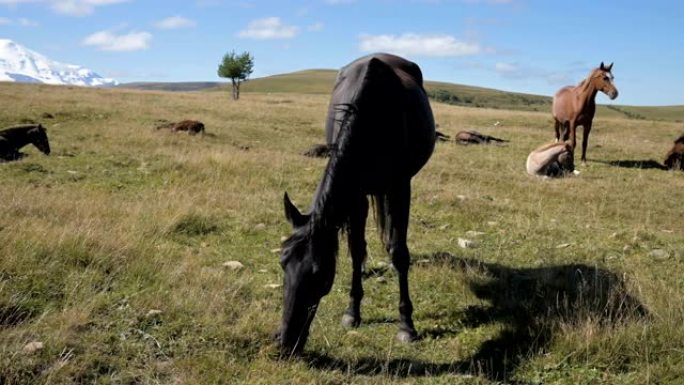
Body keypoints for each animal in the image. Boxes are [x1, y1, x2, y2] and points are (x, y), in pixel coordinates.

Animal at [276, 53, 436, 354]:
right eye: (282, 264)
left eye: (319, 275)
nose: (285, 341)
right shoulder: (356, 194)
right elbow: (355, 248)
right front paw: (352, 311)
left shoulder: (400, 186)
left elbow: (399, 252)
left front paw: (406, 325)